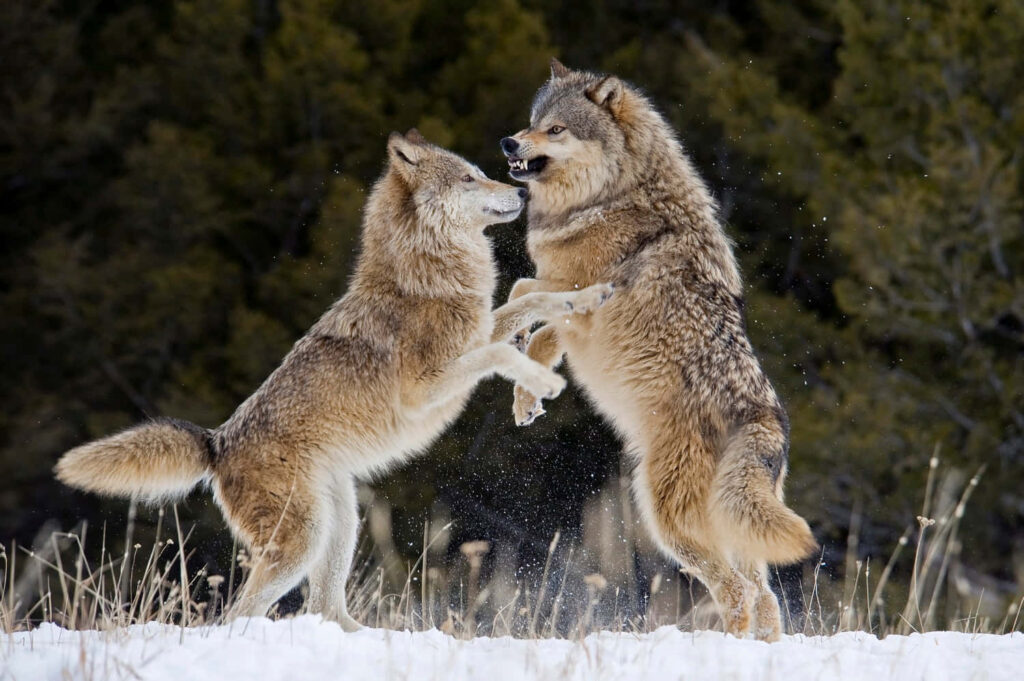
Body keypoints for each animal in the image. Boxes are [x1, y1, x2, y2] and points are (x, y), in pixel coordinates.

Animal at [55, 130, 614, 631]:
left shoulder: (477, 334)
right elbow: (503, 344)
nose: (522, 193)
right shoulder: (428, 387)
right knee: (239, 614)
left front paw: (587, 299)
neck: (426, 276)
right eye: (469, 178)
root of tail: (216, 444)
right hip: (303, 540)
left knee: (325, 607)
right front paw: (545, 382)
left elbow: (531, 300)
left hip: (341, 523)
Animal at [499, 60, 816, 641]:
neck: (608, 197)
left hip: (665, 517)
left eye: (556, 129)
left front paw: (523, 374)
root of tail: (765, 419)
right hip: (732, 531)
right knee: (764, 597)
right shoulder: (569, 306)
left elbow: (526, 298)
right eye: (533, 121)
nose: (509, 142)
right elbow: (530, 311)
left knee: (736, 593)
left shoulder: (579, 299)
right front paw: (526, 384)